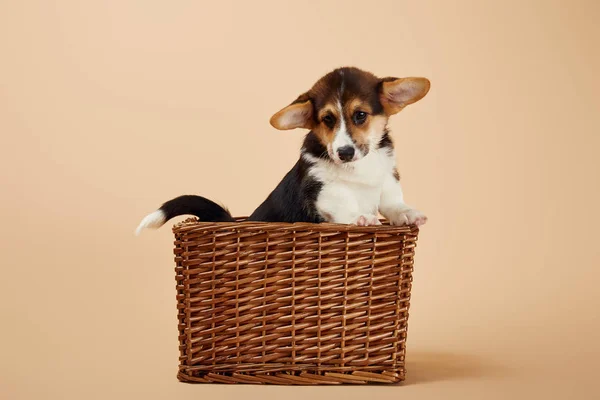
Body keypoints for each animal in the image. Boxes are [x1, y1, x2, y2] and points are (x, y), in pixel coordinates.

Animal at [136, 66, 428, 234]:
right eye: (328, 119)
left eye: (360, 115)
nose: (344, 152)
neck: (358, 168)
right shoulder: (320, 190)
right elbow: (344, 201)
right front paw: (361, 218)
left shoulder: (387, 178)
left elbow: (392, 201)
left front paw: (407, 213)